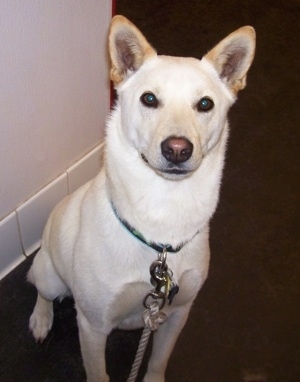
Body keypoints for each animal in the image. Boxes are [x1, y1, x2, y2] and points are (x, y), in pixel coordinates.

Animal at [27, 15, 255, 382]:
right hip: (49, 276)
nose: (177, 149)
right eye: (149, 99)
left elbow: (158, 361)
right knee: (40, 290)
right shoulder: (92, 326)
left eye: (205, 104)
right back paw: (41, 319)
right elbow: (98, 373)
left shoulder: (177, 314)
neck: (162, 217)